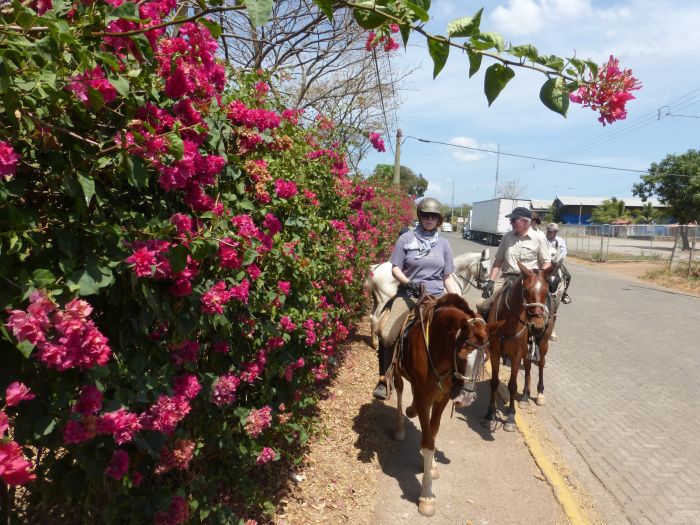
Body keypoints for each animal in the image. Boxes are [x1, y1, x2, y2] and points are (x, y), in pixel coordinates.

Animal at [388, 294, 504, 516]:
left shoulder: (441, 397)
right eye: (461, 357)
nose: (466, 399)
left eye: (485, 358)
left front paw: (431, 466)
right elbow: (427, 440)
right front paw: (426, 495)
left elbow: (433, 432)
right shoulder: (424, 395)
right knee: (398, 391)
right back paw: (398, 426)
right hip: (397, 371)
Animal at [484, 260, 556, 430]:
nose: (537, 326)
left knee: (540, 364)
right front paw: (490, 414)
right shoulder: (495, 352)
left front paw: (510, 417)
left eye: (546, 290)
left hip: (543, 344)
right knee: (528, 366)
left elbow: (512, 385)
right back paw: (524, 397)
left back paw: (540, 393)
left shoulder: (516, 355)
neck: (507, 323)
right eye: (525, 290)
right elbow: (494, 382)